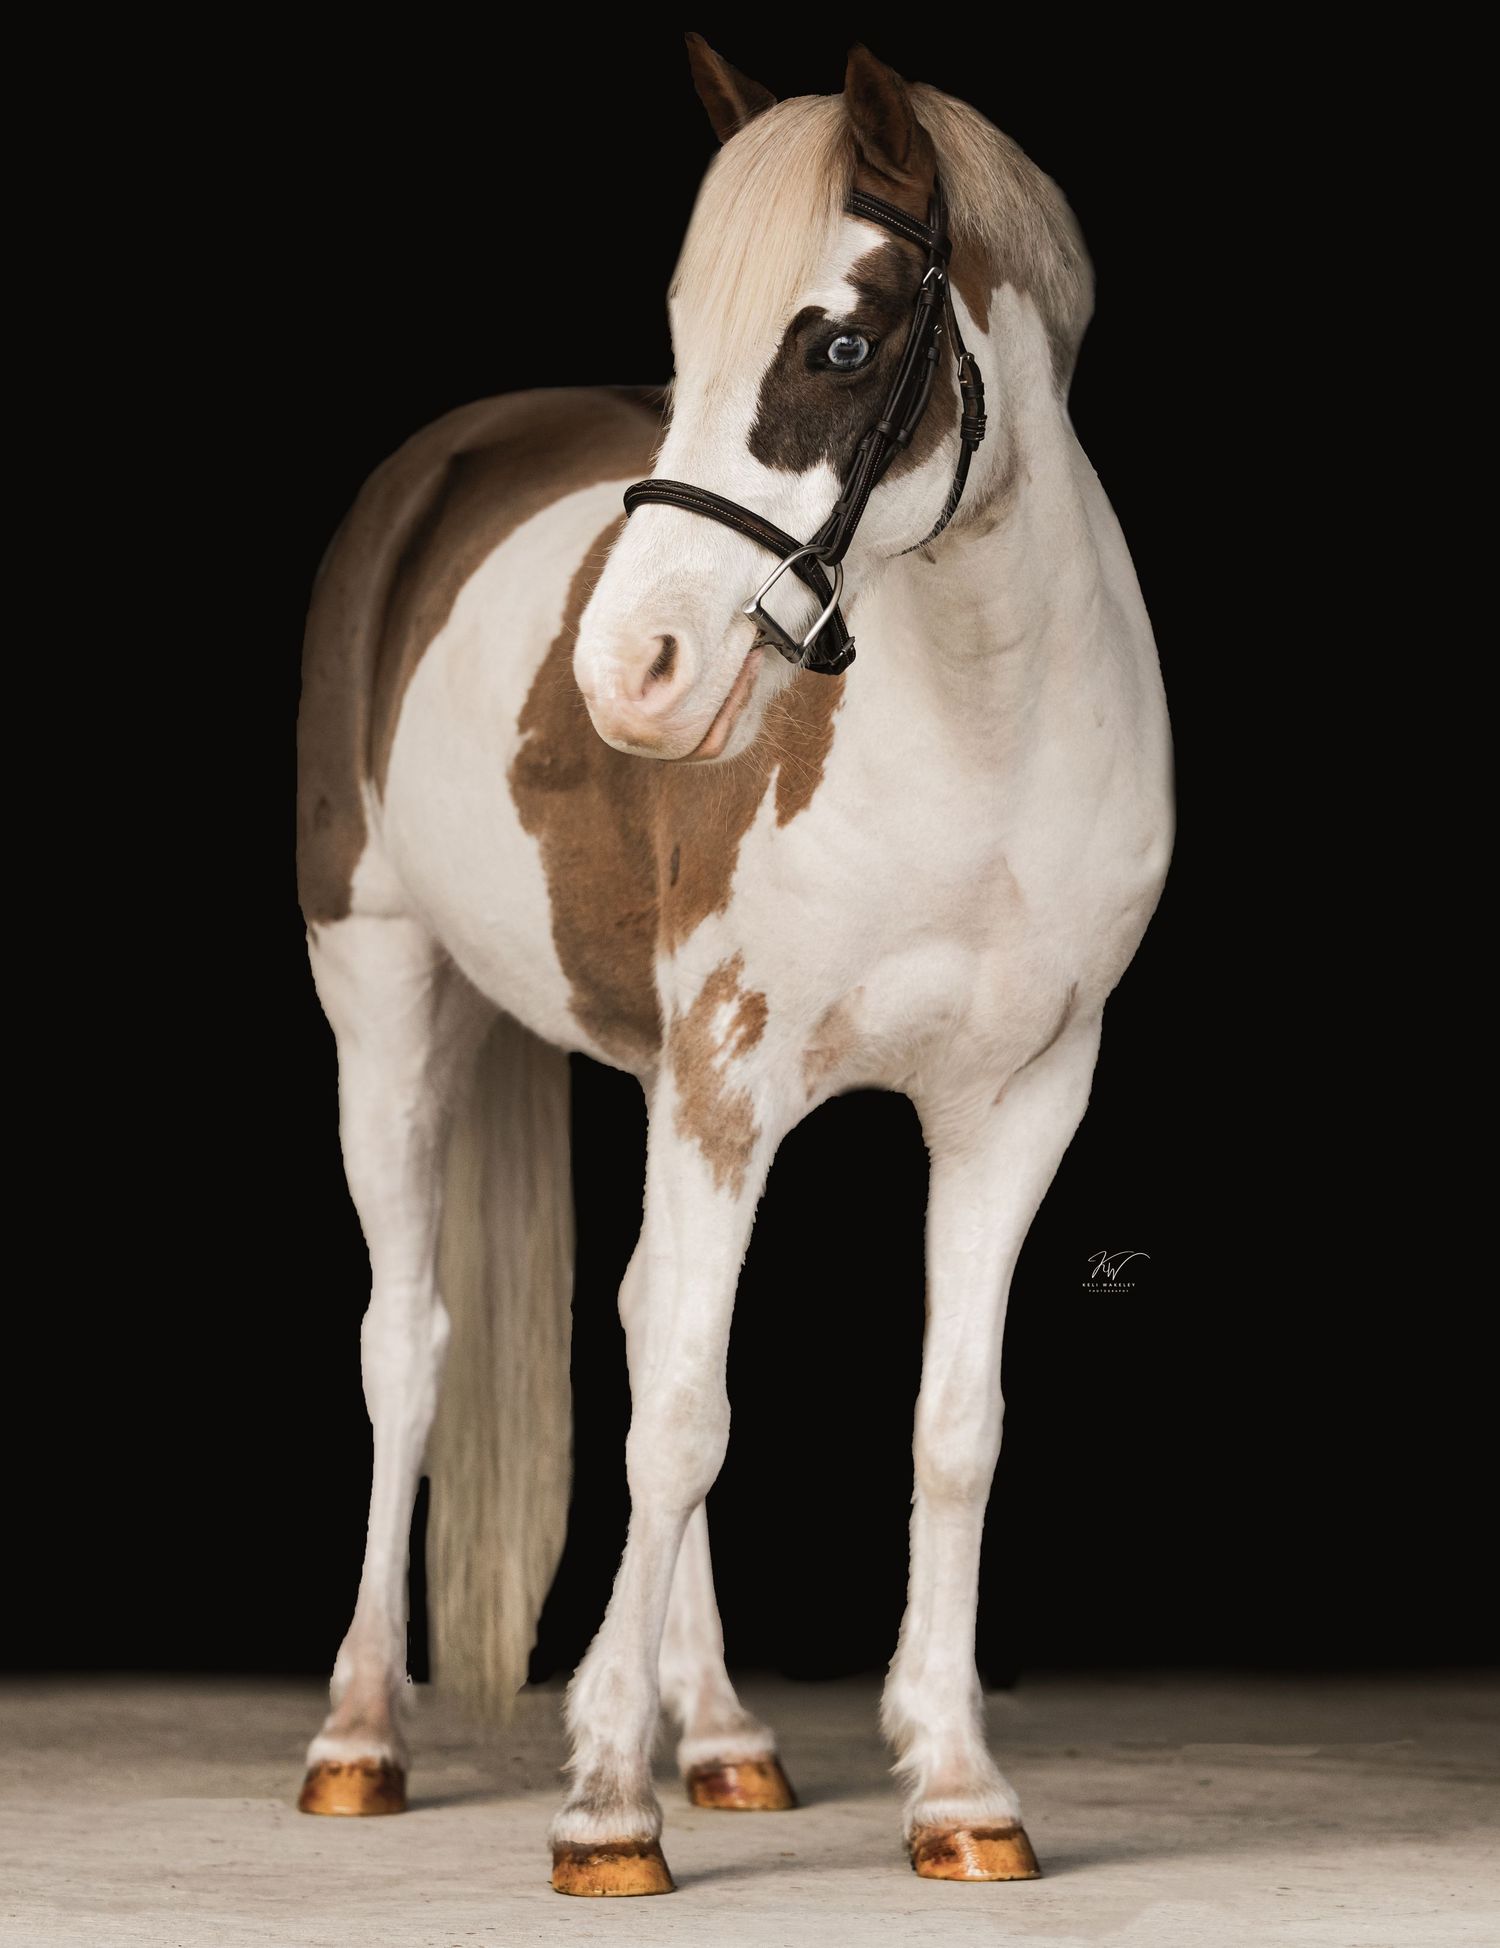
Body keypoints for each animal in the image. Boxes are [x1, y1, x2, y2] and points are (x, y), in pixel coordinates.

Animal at [292, 37, 1173, 1897]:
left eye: (837, 344)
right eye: (688, 335)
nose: (633, 671)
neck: (979, 741)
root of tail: (441, 460)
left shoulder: (1018, 1104)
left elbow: (949, 1429)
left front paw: (959, 1790)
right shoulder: (729, 1074)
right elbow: (684, 1422)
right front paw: (602, 1805)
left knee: (639, 1321)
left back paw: (724, 1737)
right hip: (381, 989)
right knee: (408, 1340)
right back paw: (360, 1738)